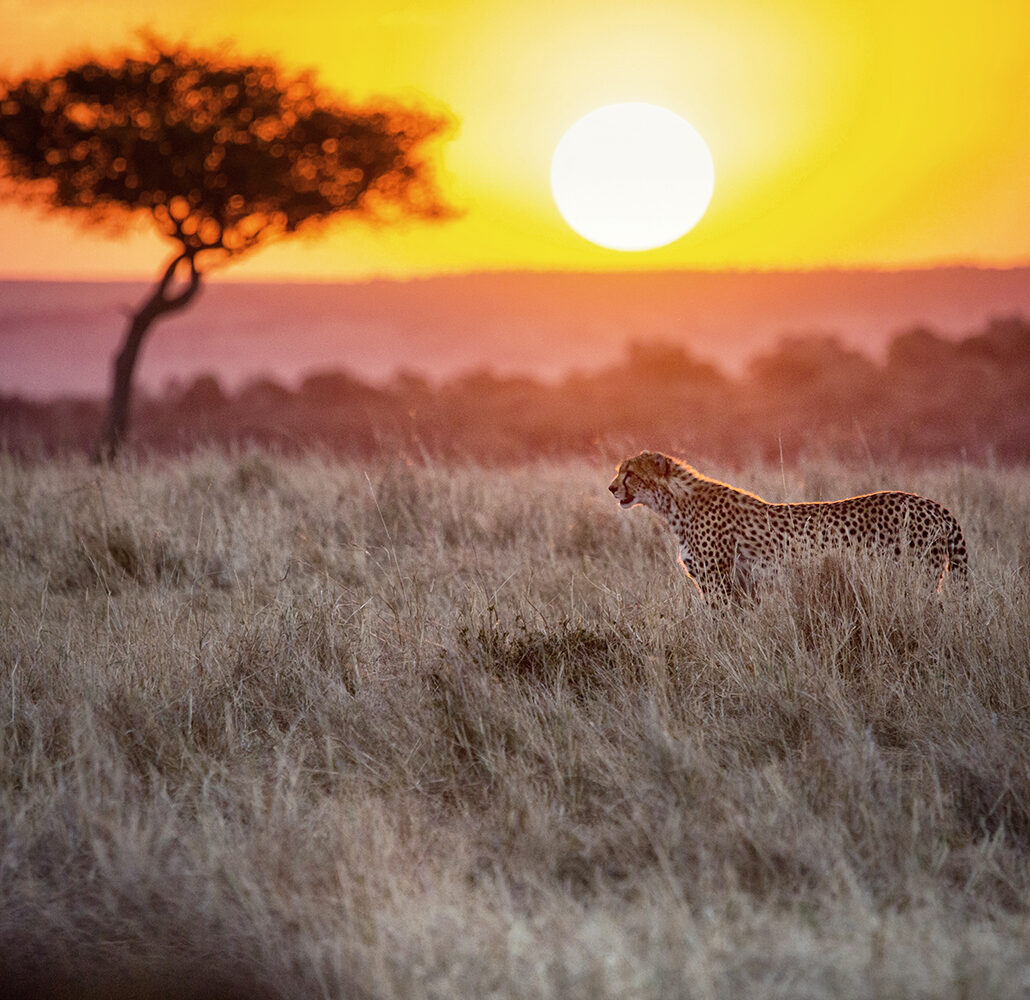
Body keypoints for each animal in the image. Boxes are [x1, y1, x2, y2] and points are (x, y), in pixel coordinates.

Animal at [608, 451, 968, 597]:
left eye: (630, 473)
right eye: (618, 472)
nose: (611, 488)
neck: (675, 505)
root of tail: (931, 503)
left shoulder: (719, 585)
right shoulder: (743, 588)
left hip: (916, 578)